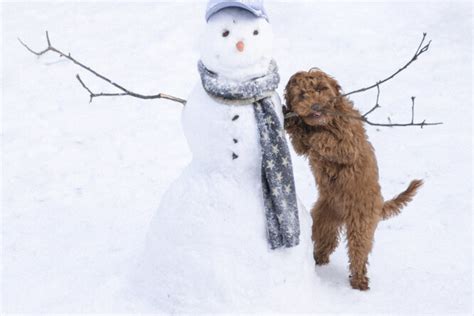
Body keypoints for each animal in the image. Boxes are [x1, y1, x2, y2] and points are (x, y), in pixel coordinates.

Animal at [284, 69, 424, 292]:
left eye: (320, 89)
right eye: (302, 95)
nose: (315, 107)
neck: (326, 121)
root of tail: (379, 204)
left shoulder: (350, 143)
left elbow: (325, 140)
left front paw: (312, 134)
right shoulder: (303, 146)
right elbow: (301, 141)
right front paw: (294, 122)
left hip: (361, 223)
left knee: (359, 252)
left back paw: (359, 280)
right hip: (324, 219)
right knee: (325, 241)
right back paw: (318, 258)